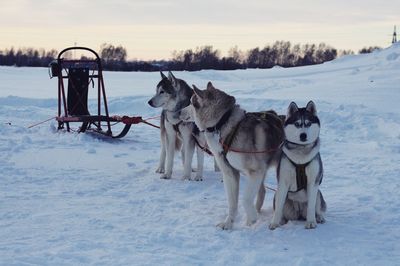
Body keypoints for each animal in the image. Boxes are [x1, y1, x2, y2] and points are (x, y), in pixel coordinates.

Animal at [189, 83, 282, 229]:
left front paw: (252, 217)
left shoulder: (254, 172)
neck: (223, 124)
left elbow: (245, 199)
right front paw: (228, 223)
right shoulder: (230, 174)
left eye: (190, 103)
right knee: (262, 191)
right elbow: (232, 203)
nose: (179, 111)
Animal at [270, 101, 326, 230]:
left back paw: (319, 217)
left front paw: (311, 222)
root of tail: (299, 212)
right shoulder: (283, 181)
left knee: (317, 207)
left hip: (319, 194)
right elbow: (279, 207)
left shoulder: (313, 181)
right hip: (277, 194)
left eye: (308, 123)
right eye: (297, 124)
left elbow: (311, 206)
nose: (303, 135)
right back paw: (281, 220)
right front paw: (274, 223)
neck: (301, 152)